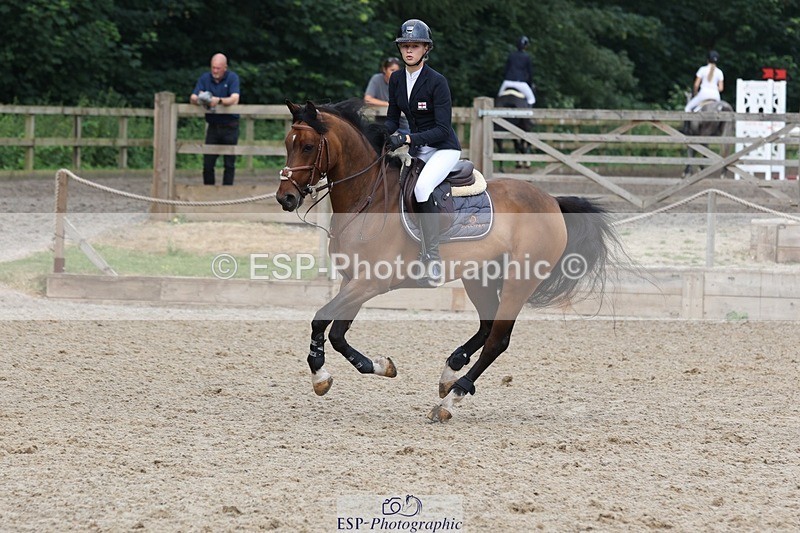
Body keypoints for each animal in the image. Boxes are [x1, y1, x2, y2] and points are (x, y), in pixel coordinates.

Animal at [276, 98, 622, 422]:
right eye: (288, 144)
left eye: (307, 146)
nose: (285, 198)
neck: (367, 198)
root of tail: (551, 201)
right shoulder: (353, 281)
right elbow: (337, 333)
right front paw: (380, 366)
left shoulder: (370, 282)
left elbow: (321, 320)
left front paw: (319, 375)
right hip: (480, 276)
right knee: (486, 326)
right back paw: (450, 370)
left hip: (518, 281)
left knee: (498, 339)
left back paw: (451, 398)